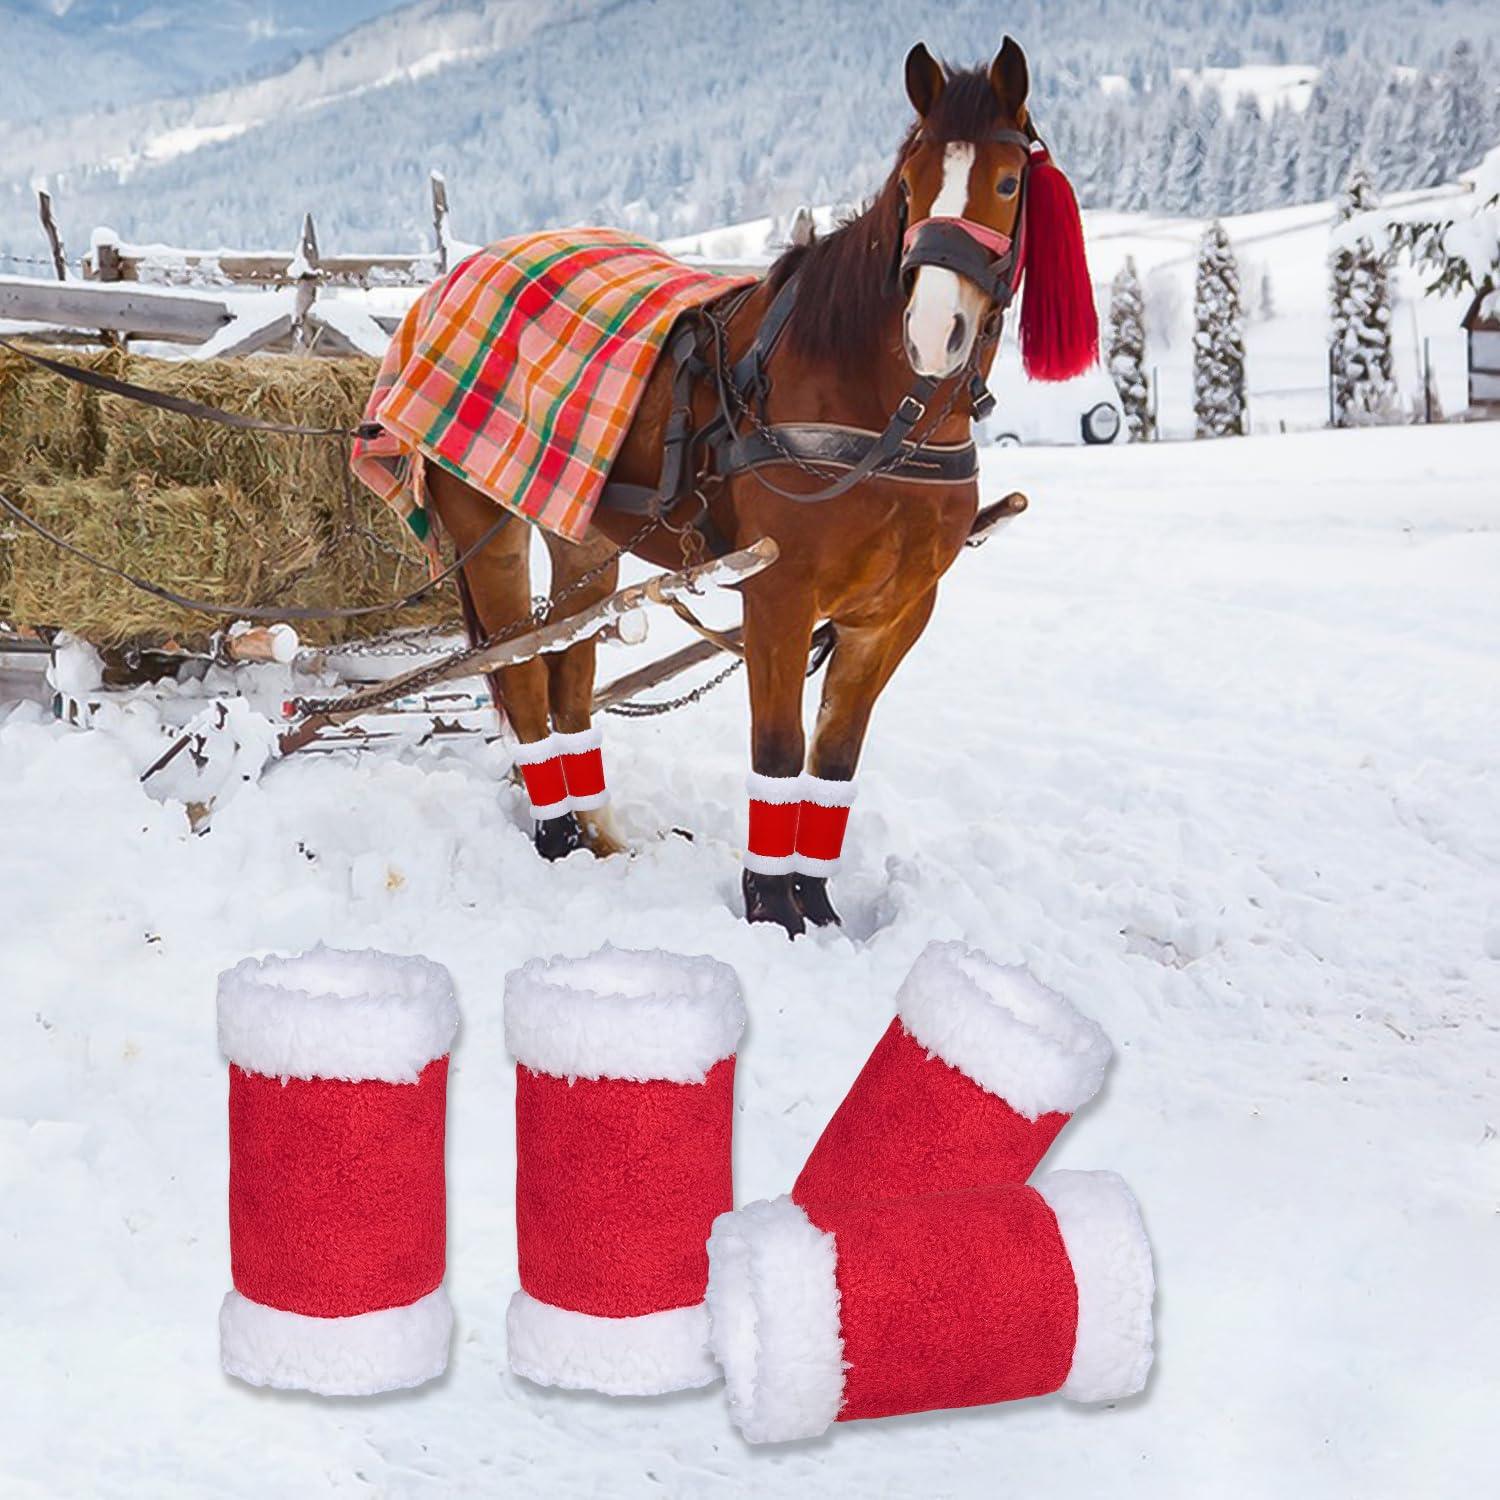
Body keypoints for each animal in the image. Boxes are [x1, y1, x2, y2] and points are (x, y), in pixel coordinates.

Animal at [423, 36, 1096, 937]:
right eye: (909, 184)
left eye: (1008, 182)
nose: (932, 332)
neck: (884, 415)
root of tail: (448, 283)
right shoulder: (779, 591)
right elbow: (777, 750)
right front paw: (770, 906)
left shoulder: (894, 614)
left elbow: (834, 760)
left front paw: (818, 902)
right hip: (485, 525)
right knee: (524, 675)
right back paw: (556, 834)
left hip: (582, 534)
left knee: (570, 677)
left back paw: (595, 831)